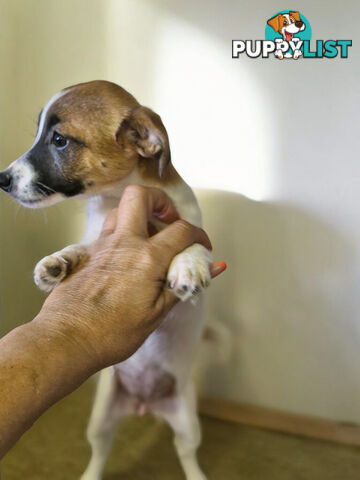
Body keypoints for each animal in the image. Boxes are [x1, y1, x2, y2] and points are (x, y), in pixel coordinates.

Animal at [0, 81, 214, 480]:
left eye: (59, 140)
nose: (1, 180)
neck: (115, 199)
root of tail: (144, 405)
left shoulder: (195, 228)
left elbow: (192, 239)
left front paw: (188, 264)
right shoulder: (97, 239)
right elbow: (82, 247)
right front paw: (56, 263)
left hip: (187, 423)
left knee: (187, 454)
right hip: (101, 419)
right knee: (101, 451)